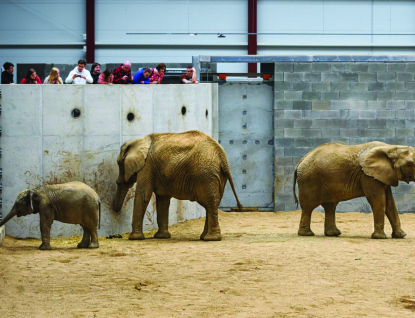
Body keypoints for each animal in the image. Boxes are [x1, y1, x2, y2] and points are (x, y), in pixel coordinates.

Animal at [114, 129, 244, 241]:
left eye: (119, 163)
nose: (115, 211)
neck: (138, 141)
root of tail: (222, 155)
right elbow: (163, 200)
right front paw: (162, 237)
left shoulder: (147, 166)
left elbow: (144, 195)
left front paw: (134, 238)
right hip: (217, 175)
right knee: (212, 203)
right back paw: (204, 237)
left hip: (205, 173)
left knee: (210, 201)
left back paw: (211, 239)